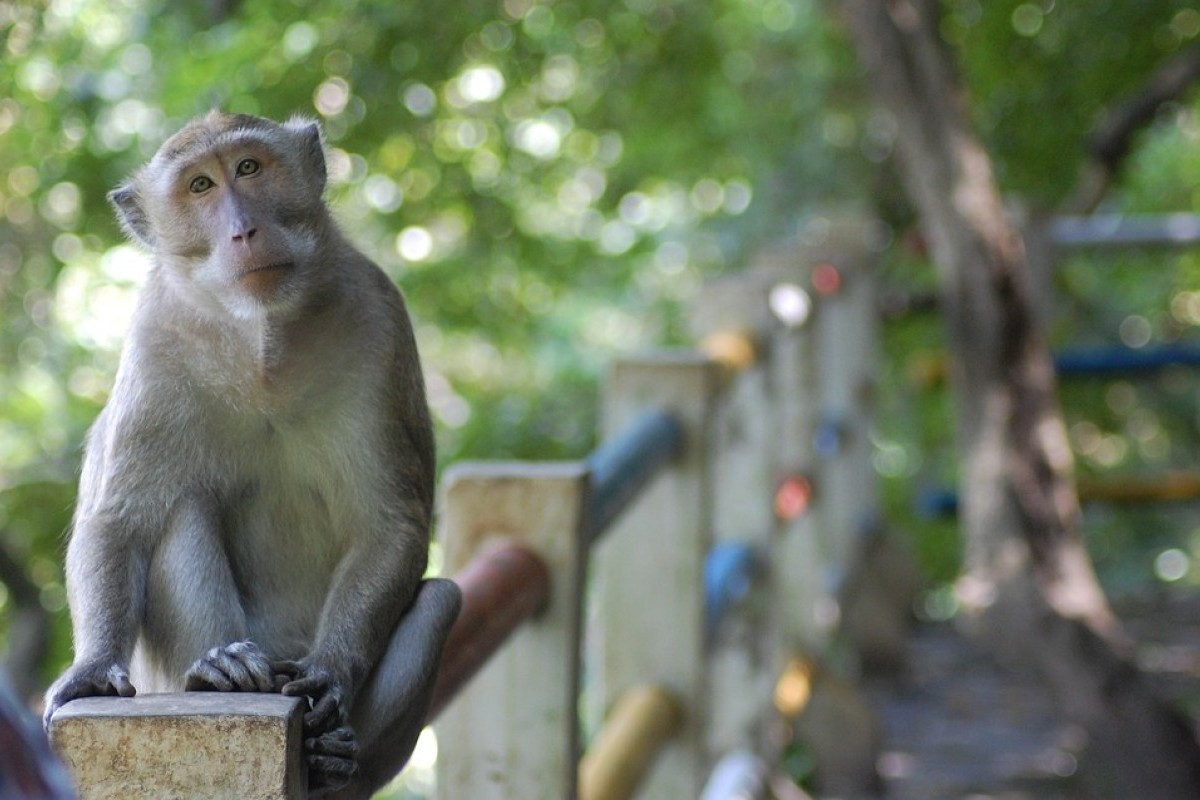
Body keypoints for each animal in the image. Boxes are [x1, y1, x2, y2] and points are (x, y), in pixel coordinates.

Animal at [42, 113, 463, 800]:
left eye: (248, 168)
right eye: (200, 186)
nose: (243, 229)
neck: (262, 337)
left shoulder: (379, 317)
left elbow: (389, 526)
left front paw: (329, 673)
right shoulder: (156, 338)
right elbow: (120, 521)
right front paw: (91, 669)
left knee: (439, 602)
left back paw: (332, 761)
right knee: (178, 509)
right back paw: (221, 670)